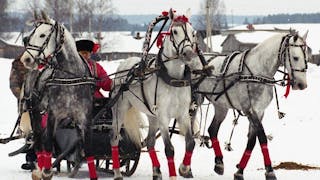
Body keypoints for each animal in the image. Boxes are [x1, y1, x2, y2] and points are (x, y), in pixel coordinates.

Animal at [110, 9, 200, 180]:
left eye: (193, 32)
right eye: (174, 31)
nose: (188, 54)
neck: (173, 79)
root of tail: (124, 64)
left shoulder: (183, 114)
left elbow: (191, 143)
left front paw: (184, 169)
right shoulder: (163, 116)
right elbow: (169, 149)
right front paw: (173, 175)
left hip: (152, 116)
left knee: (150, 142)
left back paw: (157, 171)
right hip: (120, 109)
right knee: (114, 139)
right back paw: (117, 173)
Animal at [191, 32, 308, 180]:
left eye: (306, 57)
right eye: (295, 57)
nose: (302, 85)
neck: (257, 71)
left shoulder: (259, 111)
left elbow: (252, 141)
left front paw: (240, 170)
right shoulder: (251, 111)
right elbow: (262, 138)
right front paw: (270, 170)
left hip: (220, 106)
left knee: (212, 129)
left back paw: (219, 162)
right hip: (194, 100)